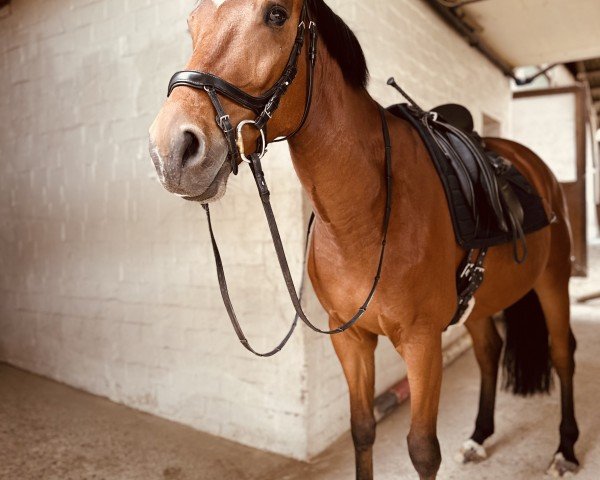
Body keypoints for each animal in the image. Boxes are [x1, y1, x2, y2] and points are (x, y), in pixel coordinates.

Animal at [148, 1, 580, 478]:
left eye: (277, 14)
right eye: (192, 23)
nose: (172, 150)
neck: (362, 216)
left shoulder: (422, 343)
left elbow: (423, 449)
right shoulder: (350, 339)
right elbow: (362, 430)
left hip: (553, 282)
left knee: (563, 353)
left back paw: (565, 449)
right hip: (479, 304)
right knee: (489, 352)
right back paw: (479, 437)